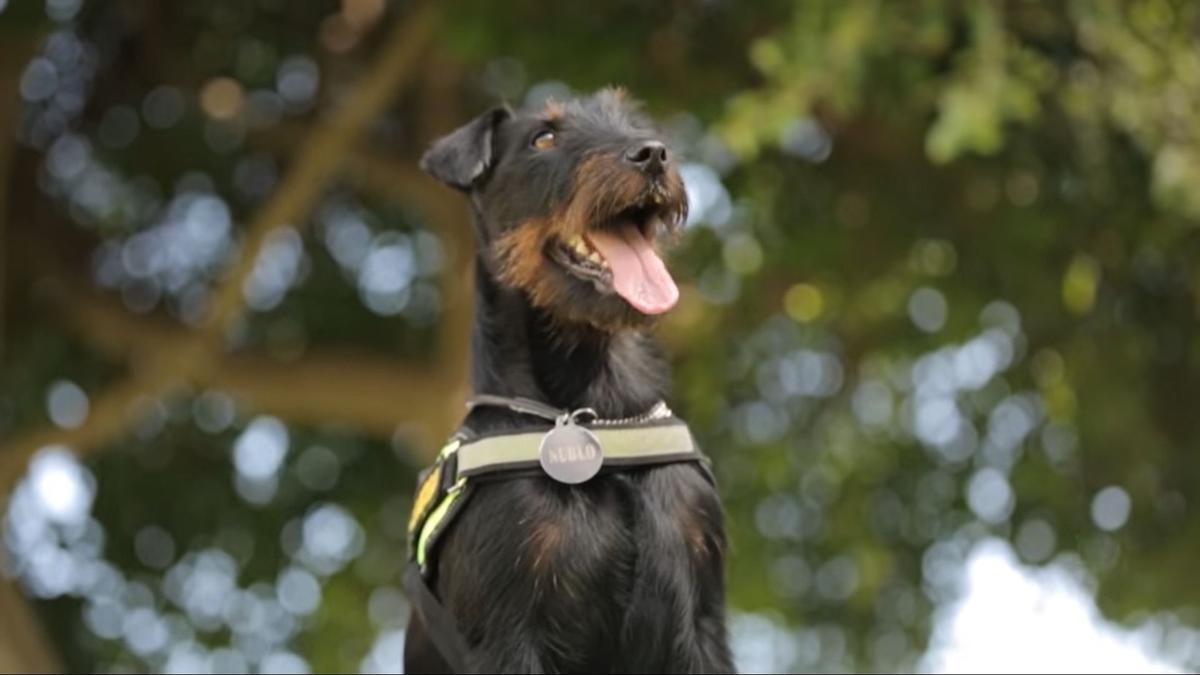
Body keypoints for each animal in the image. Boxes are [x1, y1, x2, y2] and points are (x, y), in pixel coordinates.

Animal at [403, 89, 734, 672]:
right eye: (544, 138)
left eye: (630, 122)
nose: (652, 154)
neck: (602, 411)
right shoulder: (510, 635)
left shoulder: (702, 620)